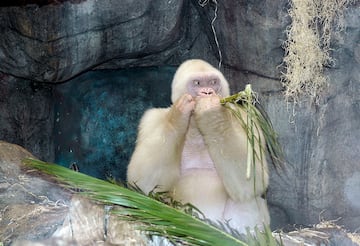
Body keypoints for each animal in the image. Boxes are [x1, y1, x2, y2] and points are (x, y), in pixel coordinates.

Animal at [127, 59, 270, 233]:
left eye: (213, 82)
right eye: (198, 83)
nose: (208, 92)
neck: (195, 126)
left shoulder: (247, 119)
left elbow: (254, 179)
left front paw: (212, 115)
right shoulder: (151, 119)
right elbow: (142, 182)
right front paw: (178, 116)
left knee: (247, 196)